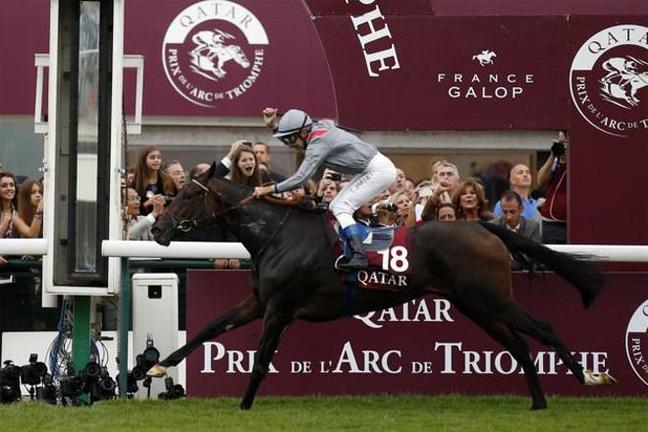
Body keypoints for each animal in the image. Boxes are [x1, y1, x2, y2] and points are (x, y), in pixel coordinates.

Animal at [148, 164, 616, 410]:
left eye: (187, 195)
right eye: (175, 193)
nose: (156, 229)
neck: (277, 235)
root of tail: (484, 227)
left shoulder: (279, 308)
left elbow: (261, 360)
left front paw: (244, 407)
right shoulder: (259, 302)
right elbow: (207, 329)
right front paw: (149, 369)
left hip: (491, 299)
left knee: (543, 328)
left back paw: (588, 376)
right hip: (476, 306)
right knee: (517, 344)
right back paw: (538, 401)